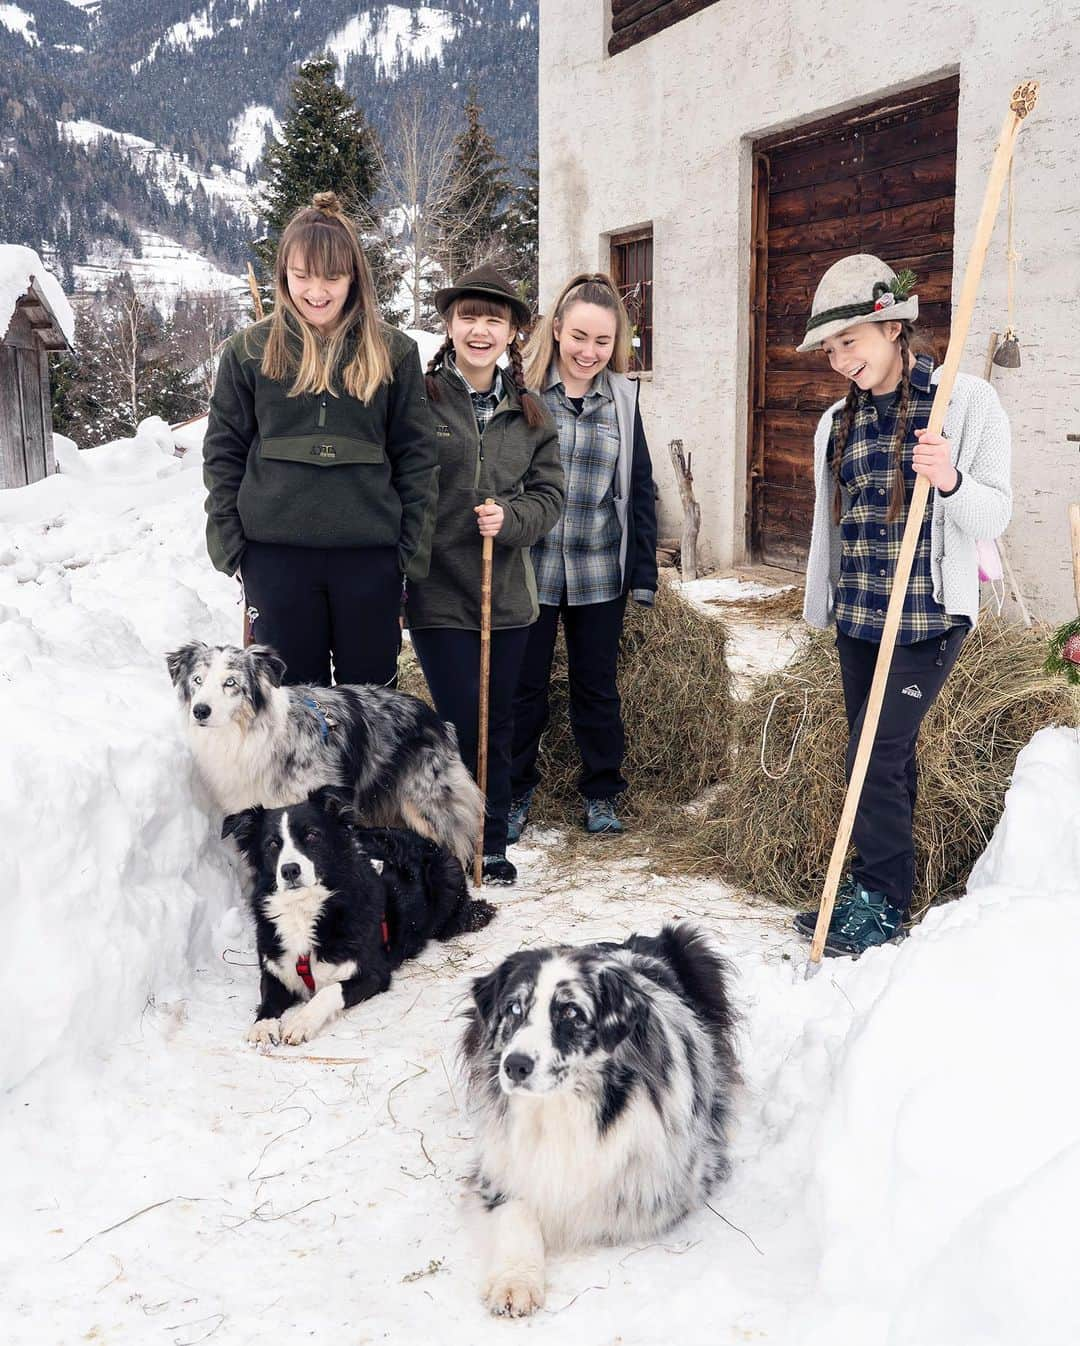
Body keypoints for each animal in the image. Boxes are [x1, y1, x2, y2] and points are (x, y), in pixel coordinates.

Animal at [166, 640, 482, 872]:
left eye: (231, 683)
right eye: (197, 680)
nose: (200, 711)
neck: (248, 736)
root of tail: (436, 719)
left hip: (425, 804)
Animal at [227, 786, 495, 1049]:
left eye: (312, 835)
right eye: (272, 844)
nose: (289, 870)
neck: (305, 909)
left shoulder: (374, 974)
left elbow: (329, 991)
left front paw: (301, 1022)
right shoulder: (274, 970)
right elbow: (267, 1000)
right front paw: (263, 1026)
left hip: (447, 878)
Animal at [457, 926, 737, 1313]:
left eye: (571, 1013)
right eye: (513, 1008)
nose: (514, 1066)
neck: (562, 1108)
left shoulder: (678, 1179)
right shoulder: (501, 1164)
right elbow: (517, 1210)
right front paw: (515, 1280)